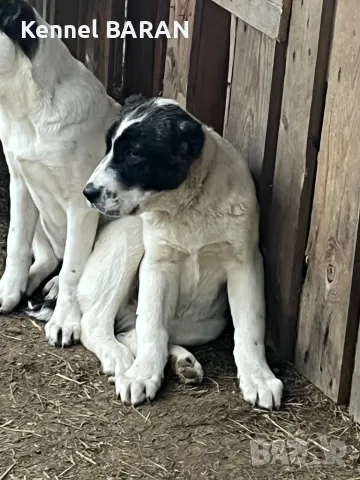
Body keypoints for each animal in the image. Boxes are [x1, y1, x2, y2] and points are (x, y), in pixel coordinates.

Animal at [0, 0, 121, 346]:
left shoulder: (82, 206)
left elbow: (73, 272)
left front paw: (65, 320)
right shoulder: (20, 183)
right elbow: (16, 243)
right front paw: (8, 291)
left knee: (66, 262)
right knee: (48, 257)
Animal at [35, 94, 284, 408]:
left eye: (134, 154)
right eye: (109, 147)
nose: (88, 193)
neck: (188, 205)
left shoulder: (245, 262)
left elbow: (250, 326)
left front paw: (258, 376)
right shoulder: (158, 264)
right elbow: (152, 325)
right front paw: (142, 375)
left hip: (207, 323)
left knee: (134, 328)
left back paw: (179, 361)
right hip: (128, 238)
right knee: (97, 322)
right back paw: (121, 357)